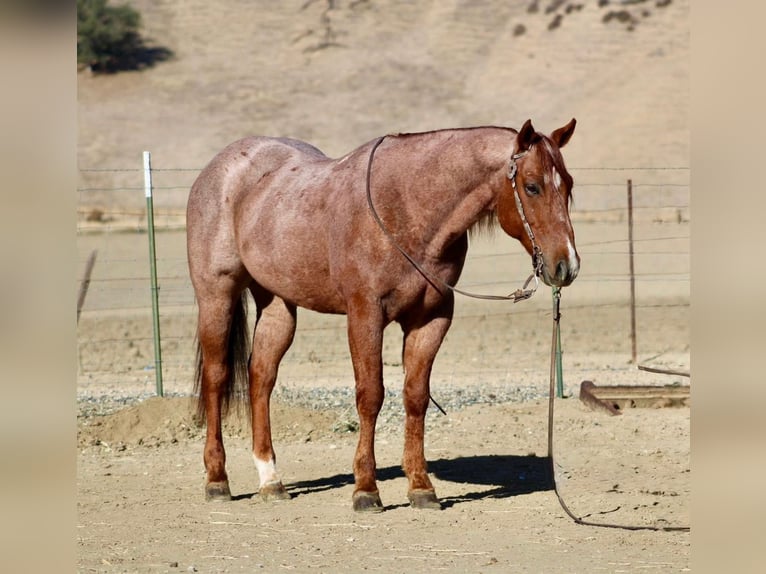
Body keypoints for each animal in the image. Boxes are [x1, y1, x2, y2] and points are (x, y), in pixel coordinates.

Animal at [186, 118, 580, 512]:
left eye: (569, 185)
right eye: (532, 186)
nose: (567, 266)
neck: (408, 208)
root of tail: (219, 168)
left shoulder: (431, 319)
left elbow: (416, 396)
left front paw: (421, 486)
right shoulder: (365, 314)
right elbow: (370, 395)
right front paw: (366, 489)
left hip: (277, 304)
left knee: (261, 376)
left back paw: (271, 479)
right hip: (217, 295)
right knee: (217, 377)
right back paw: (217, 480)